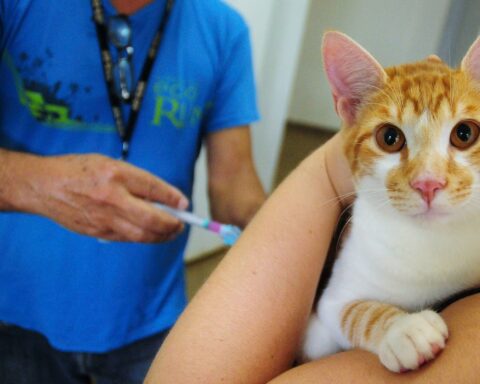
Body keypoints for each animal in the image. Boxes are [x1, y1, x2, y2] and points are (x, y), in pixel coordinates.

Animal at [302, 31, 480, 374]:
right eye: (389, 138)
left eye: (465, 133)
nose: (428, 183)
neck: (432, 244)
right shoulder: (327, 306)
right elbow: (349, 313)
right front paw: (404, 330)